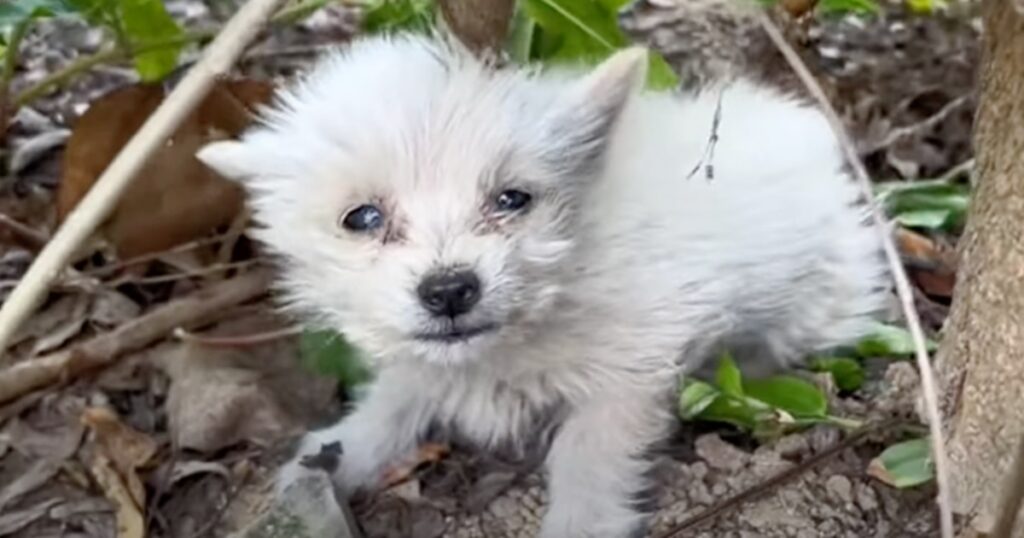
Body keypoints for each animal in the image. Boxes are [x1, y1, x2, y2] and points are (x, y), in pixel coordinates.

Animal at [197, 33, 888, 536]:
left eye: (512, 199)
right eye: (361, 218)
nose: (450, 291)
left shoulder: (628, 374)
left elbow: (587, 456)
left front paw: (581, 524)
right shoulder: (427, 360)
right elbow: (396, 398)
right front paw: (335, 453)